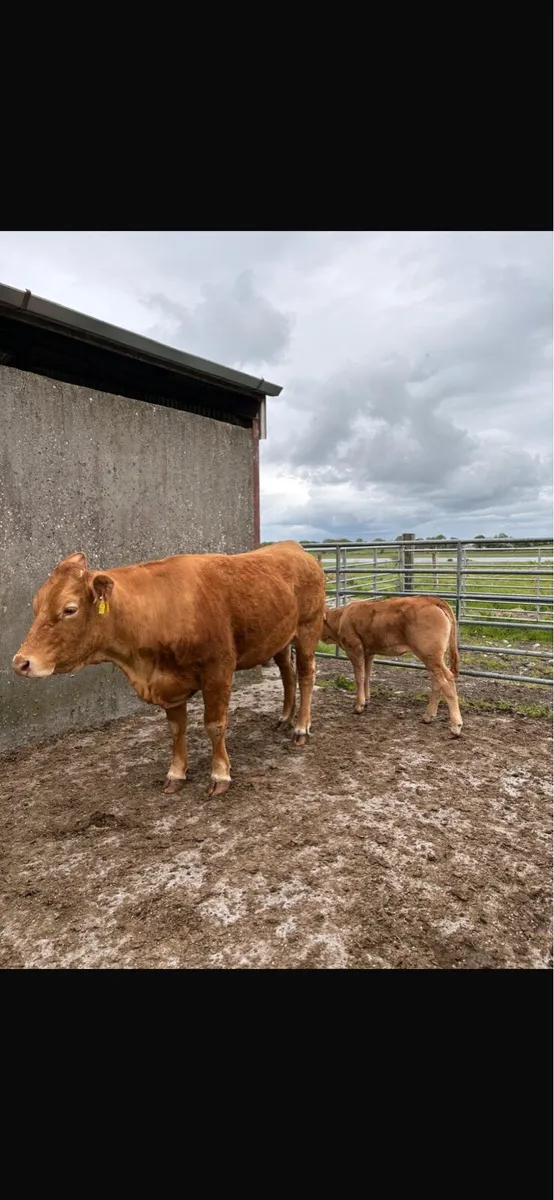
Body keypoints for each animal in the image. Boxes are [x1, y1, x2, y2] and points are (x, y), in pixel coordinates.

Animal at [11, 541, 326, 796]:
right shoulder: (169, 683)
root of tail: (294, 548)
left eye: (69, 609)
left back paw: (301, 728)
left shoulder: (218, 671)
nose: (21, 662)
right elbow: (176, 728)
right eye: (36, 606)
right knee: (287, 674)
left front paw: (220, 775)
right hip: (280, 639)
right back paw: (284, 717)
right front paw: (176, 773)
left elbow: (215, 726)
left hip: (308, 629)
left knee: (306, 674)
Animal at [320, 595, 463, 736]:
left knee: (447, 679)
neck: (341, 618)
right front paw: (366, 700)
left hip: (430, 655)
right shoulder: (368, 653)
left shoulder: (355, 649)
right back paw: (428, 716)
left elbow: (359, 677)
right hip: (433, 659)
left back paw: (456, 725)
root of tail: (429, 599)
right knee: (438, 682)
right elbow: (367, 676)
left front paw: (359, 706)